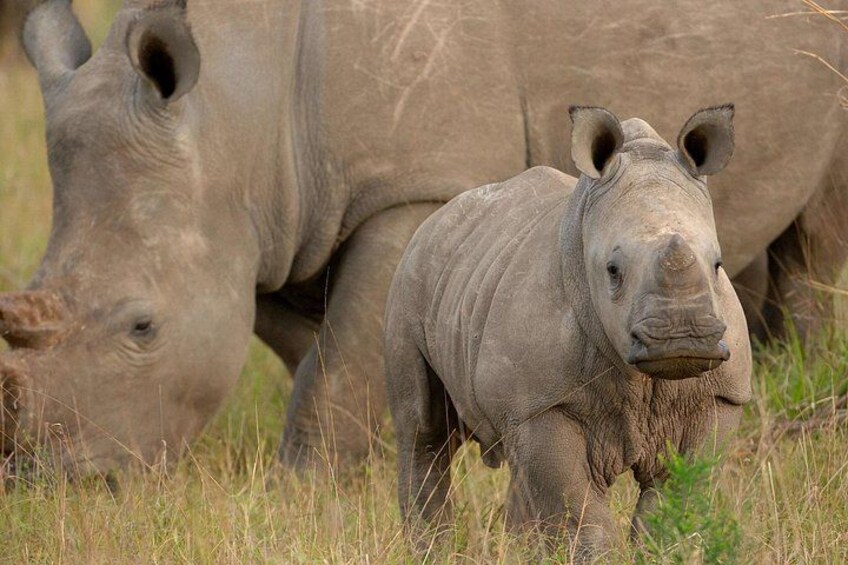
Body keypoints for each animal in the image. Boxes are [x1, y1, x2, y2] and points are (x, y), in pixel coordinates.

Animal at [0, 0, 842, 475]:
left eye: (142, 326)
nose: (54, 480)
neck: (241, 110)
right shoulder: (275, 224)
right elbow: (321, 353)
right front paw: (369, 465)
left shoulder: (417, 187)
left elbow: (332, 370)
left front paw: (306, 491)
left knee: (818, 229)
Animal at [384, 106, 752, 554]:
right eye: (612, 270)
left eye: (717, 265)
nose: (681, 338)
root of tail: (435, 219)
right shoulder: (541, 403)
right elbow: (577, 508)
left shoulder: (720, 395)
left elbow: (679, 497)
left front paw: (671, 552)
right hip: (409, 279)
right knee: (423, 432)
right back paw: (432, 550)